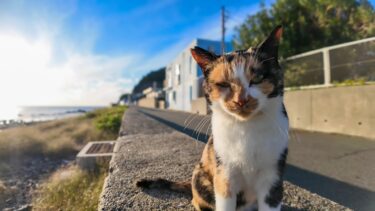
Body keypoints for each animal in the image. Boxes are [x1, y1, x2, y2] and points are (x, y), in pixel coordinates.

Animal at [137, 25, 290, 211]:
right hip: (200, 177)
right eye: (223, 84)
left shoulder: (273, 175)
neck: (246, 128)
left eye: (258, 78)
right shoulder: (224, 173)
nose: (241, 100)